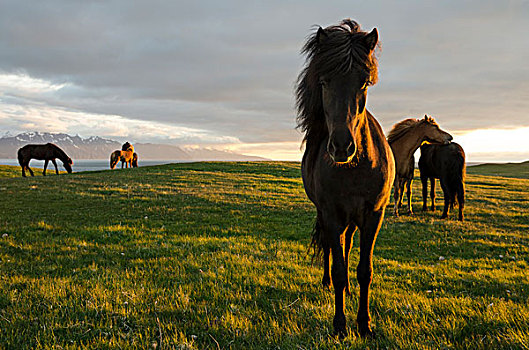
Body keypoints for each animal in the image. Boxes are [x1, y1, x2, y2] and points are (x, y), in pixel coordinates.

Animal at [294, 19, 394, 340]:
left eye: (364, 83)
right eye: (324, 82)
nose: (341, 147)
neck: (355, 168)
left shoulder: (373, 215)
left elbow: (365, 270)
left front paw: (364, 324)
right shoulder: (332, 213)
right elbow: (338, 268)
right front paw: (339, 325)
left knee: (347, 244)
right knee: (331, 246)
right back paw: (328, 284)